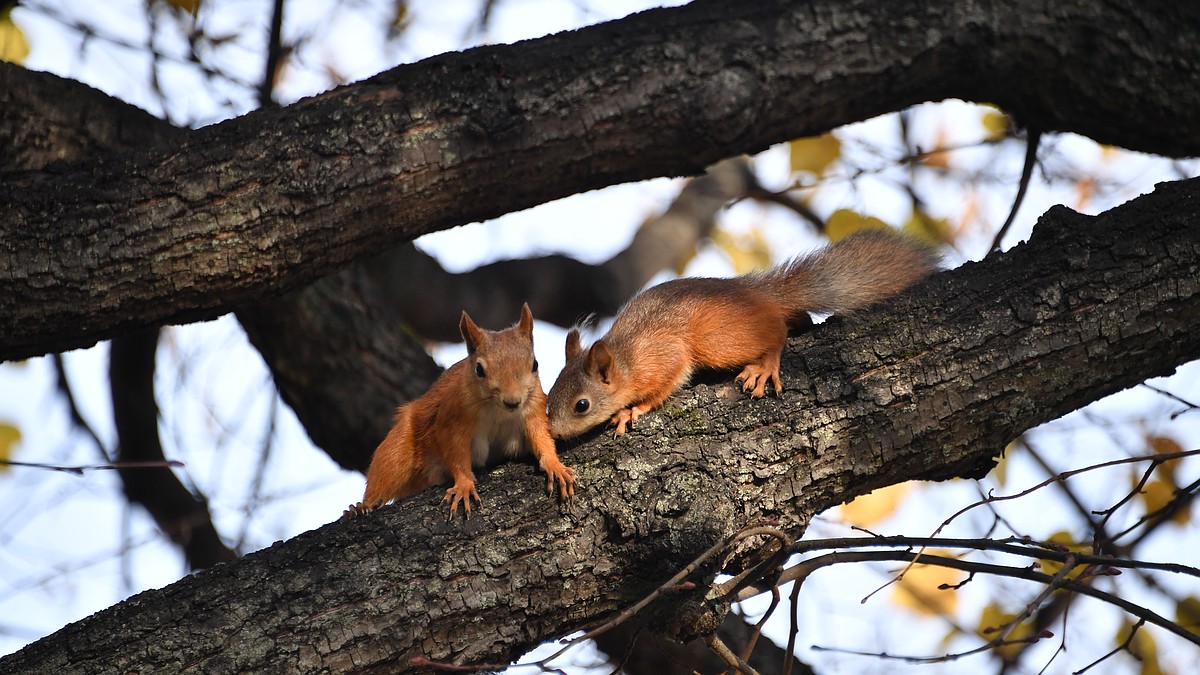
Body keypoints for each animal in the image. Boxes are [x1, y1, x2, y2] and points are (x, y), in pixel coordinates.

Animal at [343, 302, 576, 516]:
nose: (512, 401)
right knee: (384, 475)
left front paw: (555, 466)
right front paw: (464, 484)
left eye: (535, 364)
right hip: (398, 449)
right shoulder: (452, 418)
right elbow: (455, 453)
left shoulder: (534, 410)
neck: (498, 411)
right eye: (479, 369)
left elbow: (542, 438)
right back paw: (361, 506)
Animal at [544, 230, 936, 439]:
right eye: (549, 396)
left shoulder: (663, 358)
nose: (555, 433)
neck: (625, 360)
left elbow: (663, 388)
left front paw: (632, 410)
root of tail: (761, 294)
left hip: (718, 340)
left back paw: (766, 364)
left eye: (582, 405)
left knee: (776, 331)